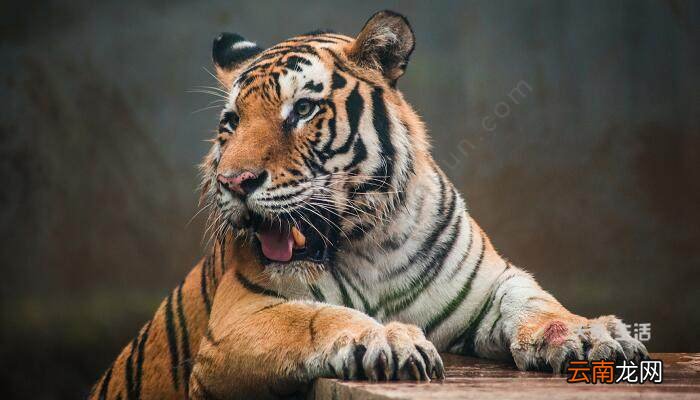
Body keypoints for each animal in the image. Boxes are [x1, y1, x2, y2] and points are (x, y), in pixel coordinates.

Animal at [90, 10, 650, 400]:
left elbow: (537, 302)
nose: (233, 181)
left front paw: (589, 335)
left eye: (303, 109)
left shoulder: (491, 284)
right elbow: (315, 317)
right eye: (231, 123)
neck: (372, 242)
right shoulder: (238, 318)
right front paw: (388, 341)